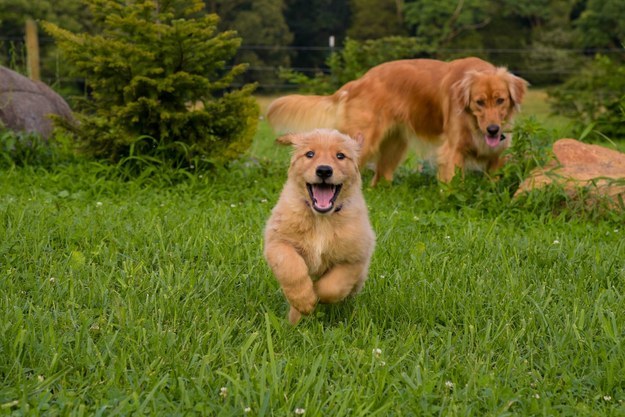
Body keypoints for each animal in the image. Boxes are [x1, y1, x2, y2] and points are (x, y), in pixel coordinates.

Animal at [264, 128, 376, 324]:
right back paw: (293, 323)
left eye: (340, 156)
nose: (324, 170)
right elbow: (291, 267)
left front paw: (316, 294)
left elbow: (334, 286)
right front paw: (304, 300)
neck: (321, 219)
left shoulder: (356, 257)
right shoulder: (277, 241)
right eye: (310, 154)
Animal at [266, 56, 528, 184]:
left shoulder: (497, 153)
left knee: (380, 177)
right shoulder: (452, 150)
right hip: (363, 142)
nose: (493, 130)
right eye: (479, 102)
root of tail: (358, 82)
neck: (473, 123)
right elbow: (453, 184)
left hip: (395, 145)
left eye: (501, 100)